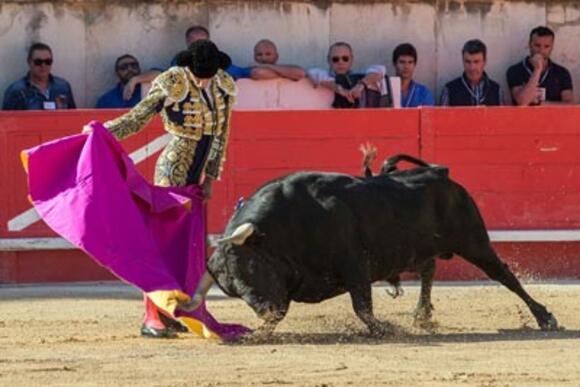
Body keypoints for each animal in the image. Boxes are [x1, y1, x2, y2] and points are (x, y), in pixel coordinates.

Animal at [208, 155, 556, 336]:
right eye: (231, 289)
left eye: (252, 266)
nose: (263, 310)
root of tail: (439, 172)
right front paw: (256, 334)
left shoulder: (354, 264)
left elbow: (362, 306)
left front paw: (382, 329)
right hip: (421, 247)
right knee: (428, 269)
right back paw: (422, 316)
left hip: (475, 242)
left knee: (504, 275)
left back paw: (544, 317)